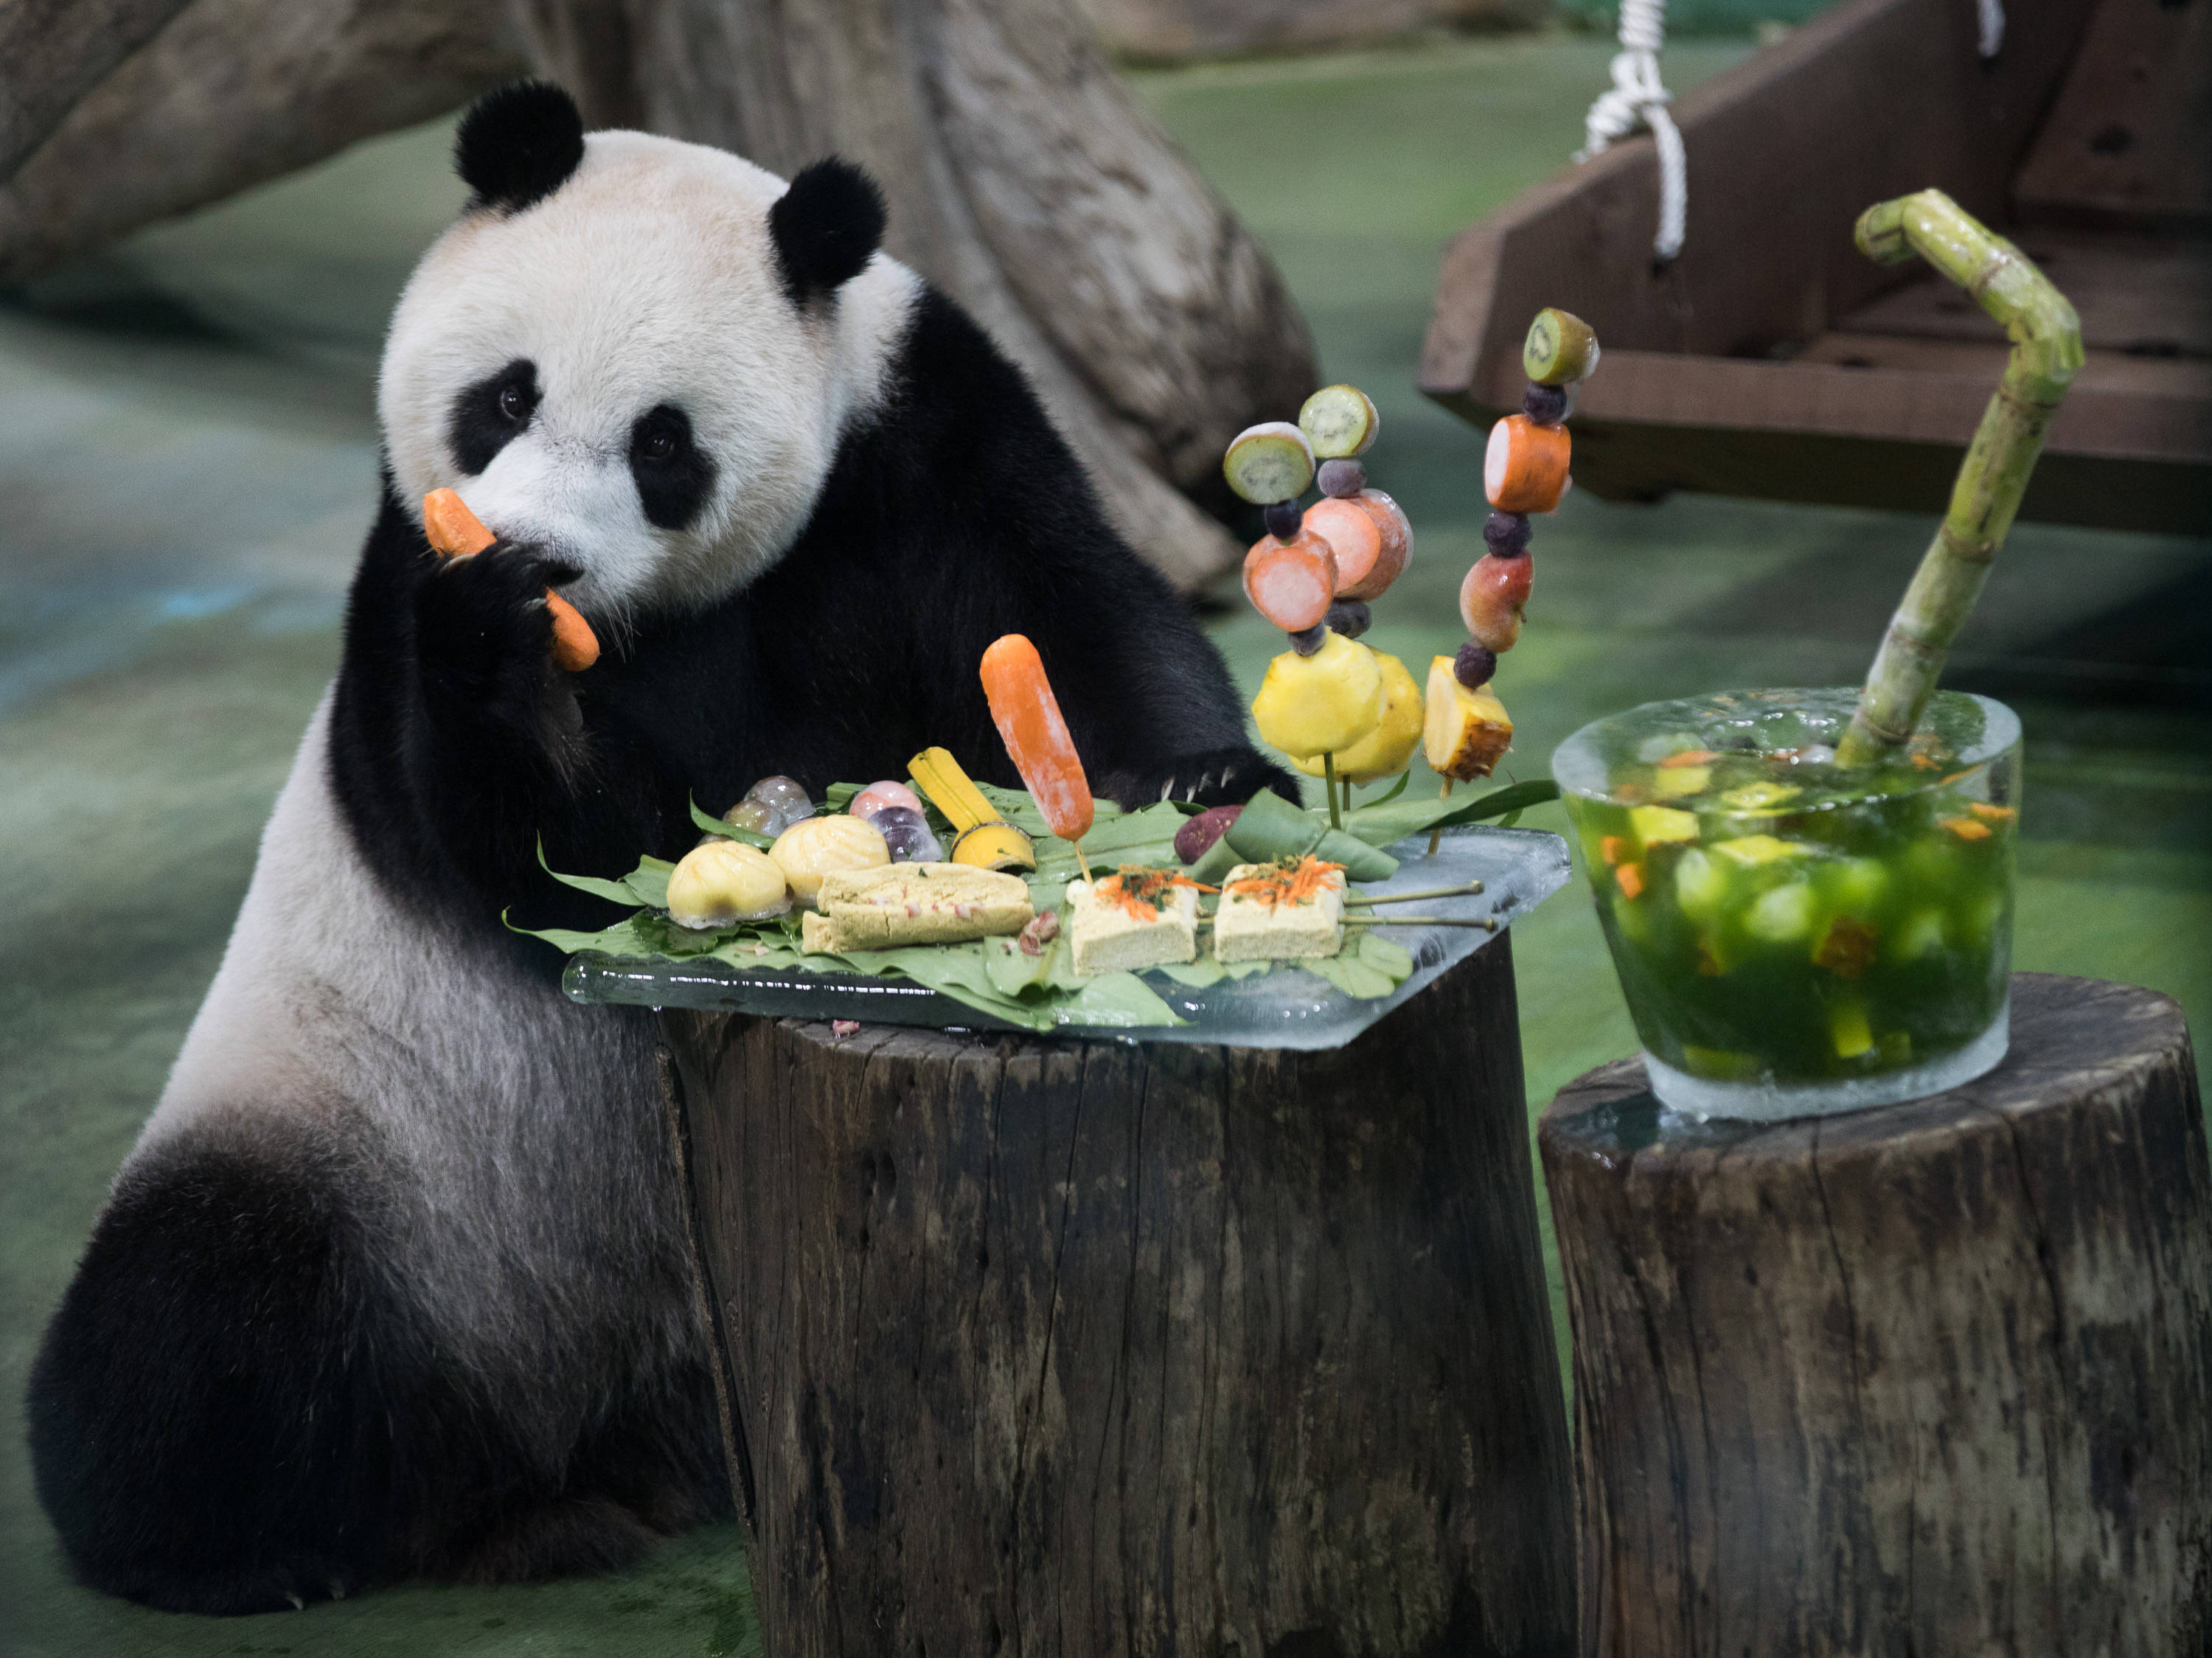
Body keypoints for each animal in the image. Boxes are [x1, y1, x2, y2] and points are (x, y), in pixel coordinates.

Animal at [30, 84, 1292, 1618]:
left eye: (663, 443)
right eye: (507, 395)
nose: (544, 558)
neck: (635, 626)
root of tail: (578, 1413)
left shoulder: (915, 438)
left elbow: (1066, 610)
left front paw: (1203, 782)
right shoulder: (401, 568)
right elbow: (523, 854)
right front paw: (499, 645)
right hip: (352, 1144)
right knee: (182, 1351)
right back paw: (340, 1541)